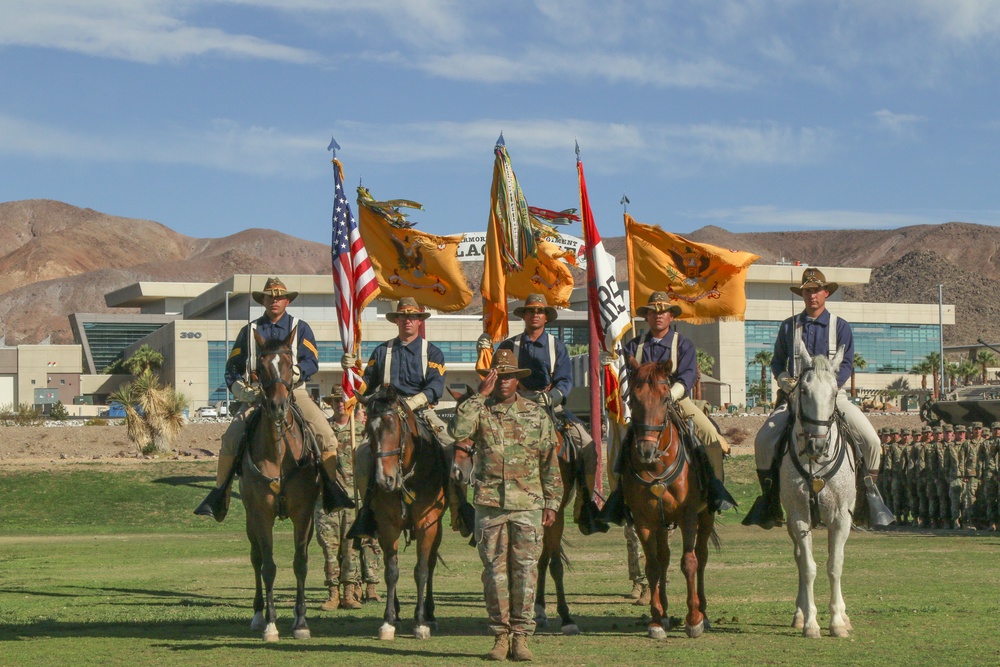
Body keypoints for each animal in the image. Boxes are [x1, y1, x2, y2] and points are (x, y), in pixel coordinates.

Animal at [242, 328, 320, 640]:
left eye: (289, 364)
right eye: (261, 367)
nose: (277, 407)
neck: (279, 452)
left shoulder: (304, 514)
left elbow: (300, 562)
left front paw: (301, 621)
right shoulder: (261, 513)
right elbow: (268, 566)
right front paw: (271, 623)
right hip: (249, 518)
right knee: (255, 558)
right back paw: (257, 614)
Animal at [354, 386, 444, 640]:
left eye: (393, 426)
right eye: (368, 431)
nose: (384, 480)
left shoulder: (428, 524)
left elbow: (422, 569)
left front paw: (421, 622)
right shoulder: (387, 525)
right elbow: (391, 571)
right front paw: (388, 621)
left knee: (431, 563)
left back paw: (429, 614)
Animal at [624, 360, 720, 640]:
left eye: (665, 398)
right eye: (633, 398)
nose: (646, 451)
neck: (657, 466)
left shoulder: (688, 516)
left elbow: (689, 562)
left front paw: (694, 619)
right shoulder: (644, 521)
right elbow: (653, 566)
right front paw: (656, 620)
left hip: (705, 516)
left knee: (701, 556)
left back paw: (704, 611)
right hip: (661, 522)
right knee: (663, 559)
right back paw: (665, 612)